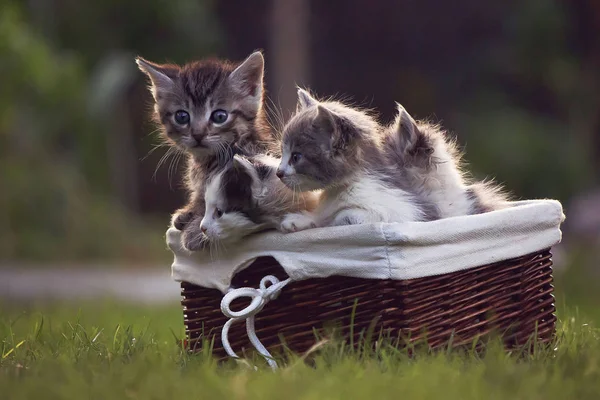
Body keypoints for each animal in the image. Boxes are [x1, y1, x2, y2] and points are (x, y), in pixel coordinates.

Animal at [135, 50, 274, 250]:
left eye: (219, 116)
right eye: (182, 116)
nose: (198, 134)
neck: (207, 162)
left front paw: (195, 230)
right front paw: (188, 212)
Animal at [274, 87, 434, 231]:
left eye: (296, 157)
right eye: (283, 153)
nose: (278, 172)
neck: (340, 190)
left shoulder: (405, 211)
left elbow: (343, 216)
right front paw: (304, 219)